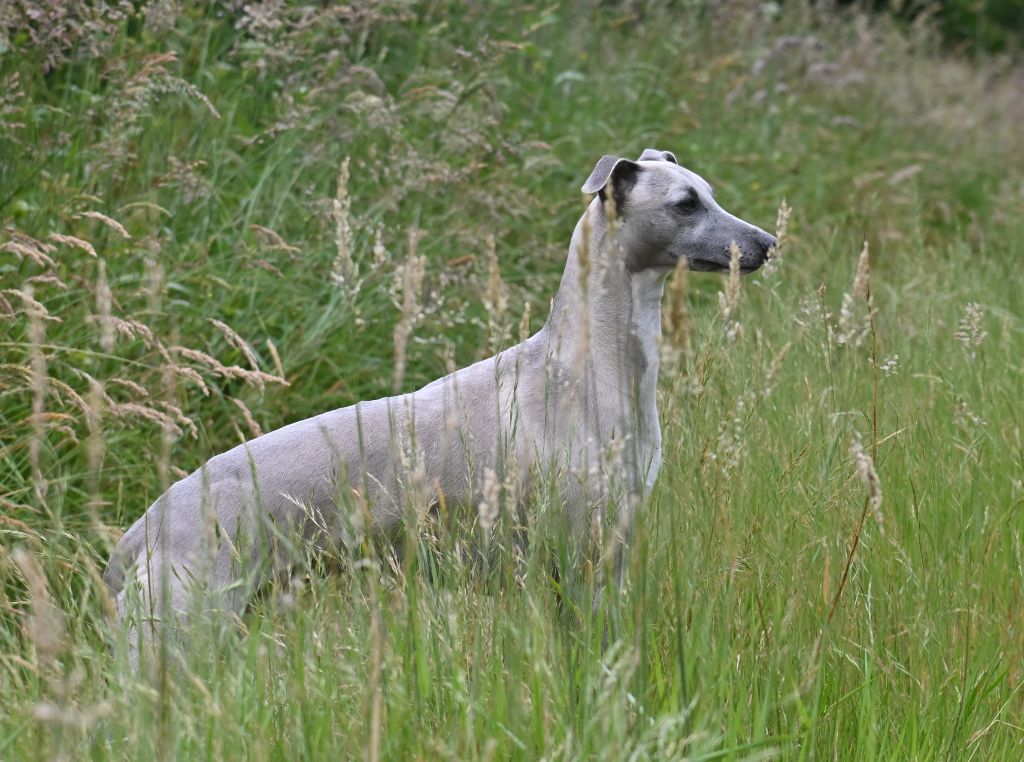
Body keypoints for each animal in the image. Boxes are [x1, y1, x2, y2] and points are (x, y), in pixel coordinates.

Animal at [105, 145, 774, 663]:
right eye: (685, 203)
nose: (768, 243)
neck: (586, 369)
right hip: (181, 637)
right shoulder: (581, 558)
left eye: (710, 195)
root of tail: (140, 533)